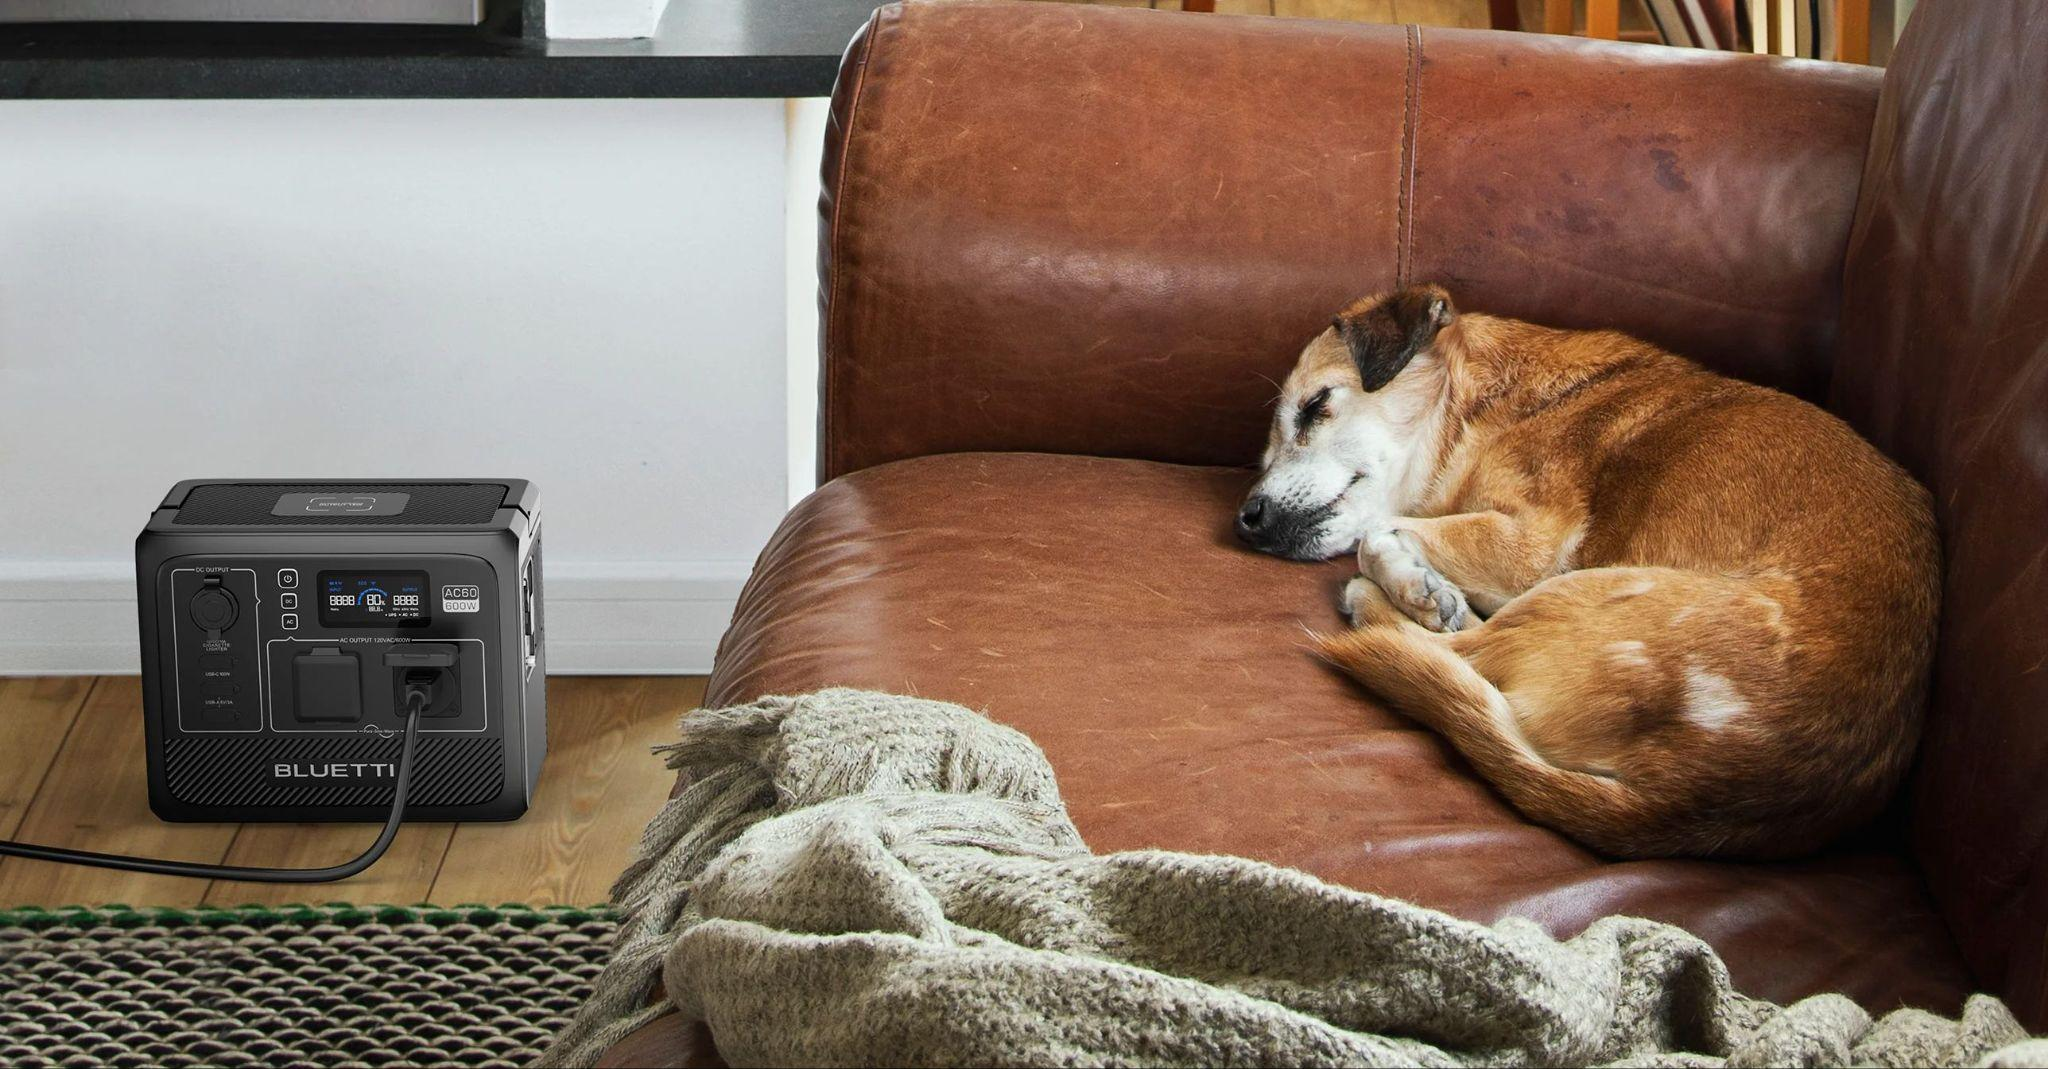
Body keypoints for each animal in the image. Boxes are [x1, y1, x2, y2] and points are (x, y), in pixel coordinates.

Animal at [1228, 284, 1933, 856]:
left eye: (1316, 405)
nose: (1247, 518)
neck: (1481, 409)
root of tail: (1673, 795)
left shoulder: (1532, 545)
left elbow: (1376, 535)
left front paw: (1418, 583)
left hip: (1581, 589)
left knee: (1451, 644)